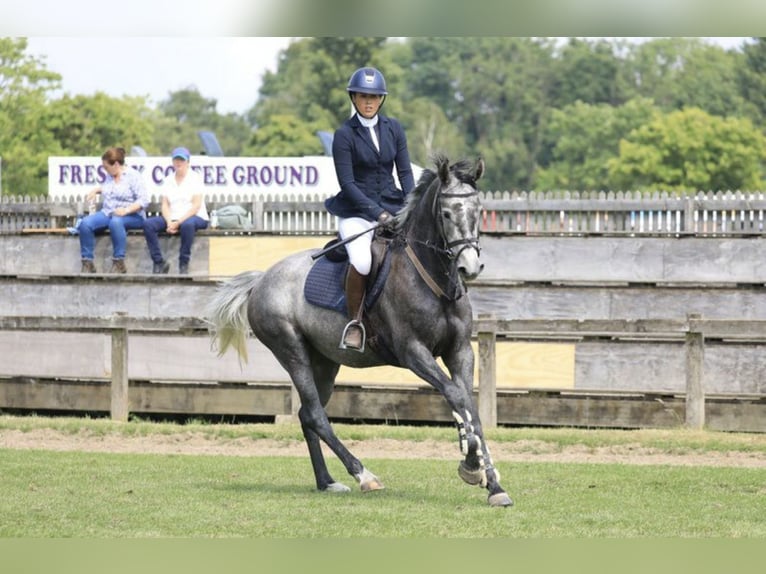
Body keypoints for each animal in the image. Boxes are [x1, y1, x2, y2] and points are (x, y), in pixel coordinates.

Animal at [207, 156, 512, 508]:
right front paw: (472, 464)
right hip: (292, 352)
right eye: (446, 214)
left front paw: (492, 482)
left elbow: (469, 406)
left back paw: (327, 482)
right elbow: (456, 395)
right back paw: (363, 475)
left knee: (307, 413)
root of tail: (261, 280)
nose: (469, 268)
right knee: (315, 414)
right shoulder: (414, 352)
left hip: (324, 362)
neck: (435, 282)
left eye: (478, 211)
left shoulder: (460, 350)